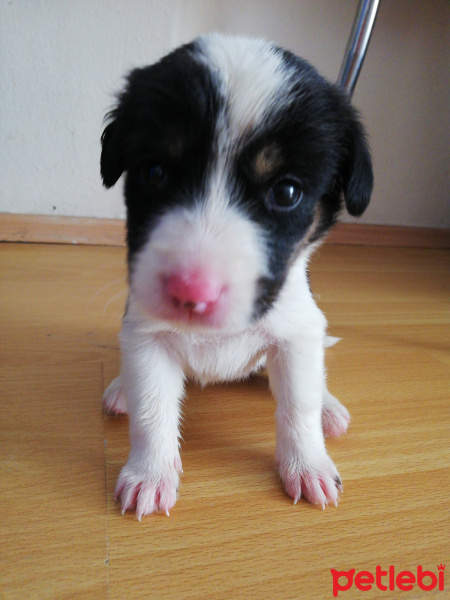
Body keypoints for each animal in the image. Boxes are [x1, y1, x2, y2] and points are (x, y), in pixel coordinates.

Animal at [101, 34, 372, 520]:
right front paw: (149, 474)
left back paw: (329, 408)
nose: (192, 292)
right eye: (154, 172)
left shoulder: (296, 334)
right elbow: (151, 409)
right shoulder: (146, 335)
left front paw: (308, 465)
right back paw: (119, 389)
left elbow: (299, 407)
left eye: (287, 192)